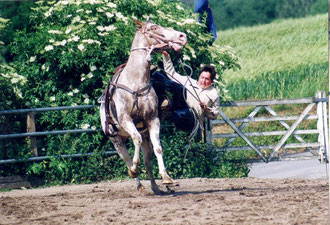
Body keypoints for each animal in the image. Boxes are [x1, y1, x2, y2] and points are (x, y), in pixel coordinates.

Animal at [98, 19, 186, 194]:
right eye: (154, 28)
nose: (181, 36)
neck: (136, 82)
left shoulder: (153, 120)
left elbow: (158, 148)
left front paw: (166, 177)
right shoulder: (125, 119)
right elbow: (136, 140)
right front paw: (134, 170)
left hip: (144, 137)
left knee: (147, 162)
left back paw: (155, 187)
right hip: (116, 140)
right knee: (127, 159)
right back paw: (137, 181)